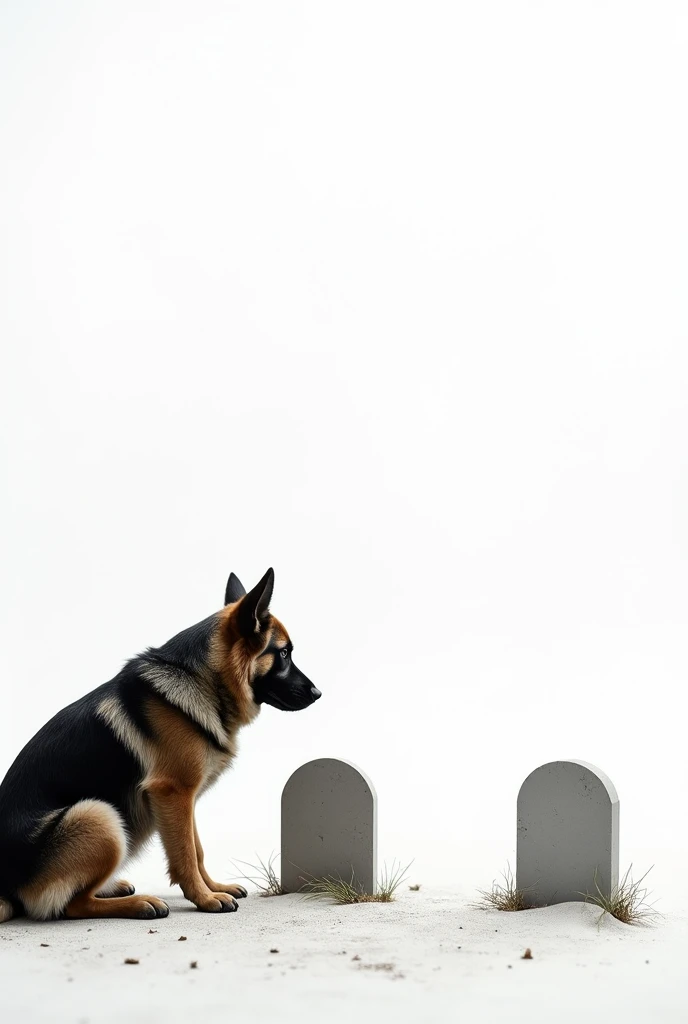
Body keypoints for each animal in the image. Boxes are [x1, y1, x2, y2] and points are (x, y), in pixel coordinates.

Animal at [0, 573, 319, 925]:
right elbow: (186, 854)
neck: (204, 679)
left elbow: (196, 850)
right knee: (72, 905)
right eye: (284, 653)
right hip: (99, 816)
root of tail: (5, 888)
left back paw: (115, 888)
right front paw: (205, 899)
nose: (318, 693)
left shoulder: (184, 800)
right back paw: (139, 904)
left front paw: (214, 888)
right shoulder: (173, 792)